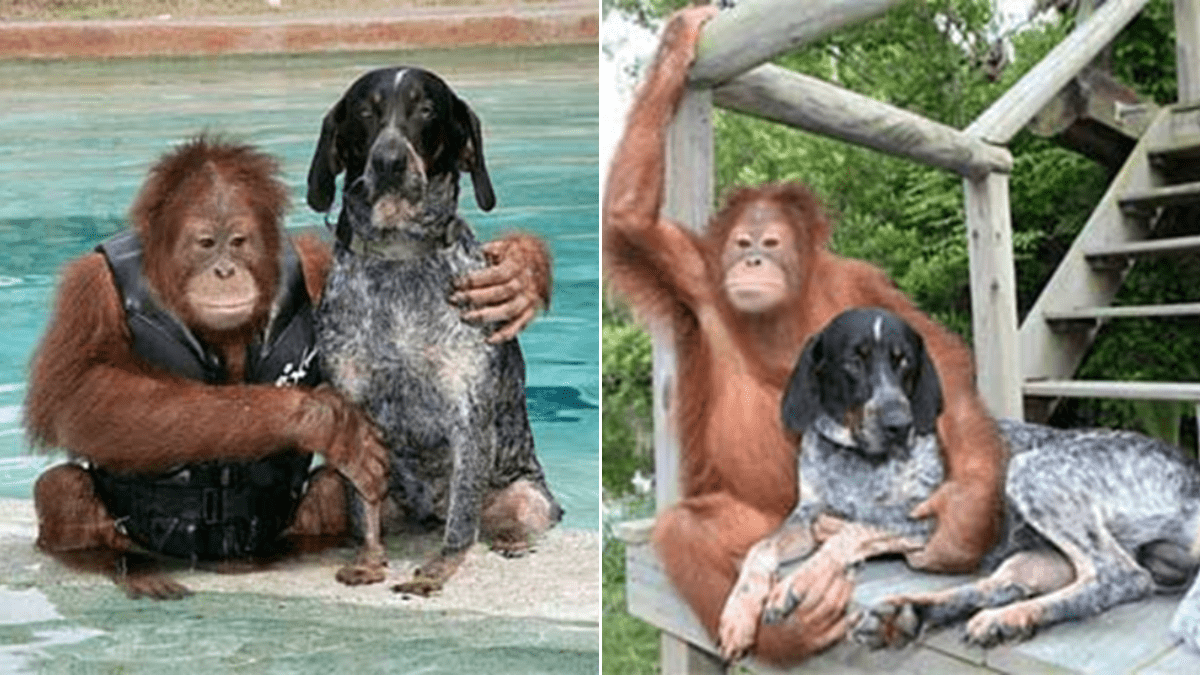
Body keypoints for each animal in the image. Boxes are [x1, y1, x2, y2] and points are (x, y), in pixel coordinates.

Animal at [304, 66, 556, 593]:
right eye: (366, 111)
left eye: (426, 110)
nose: (389, 161)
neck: (399, 257)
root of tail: (424, 516)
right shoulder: (354, 412)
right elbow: (364, 511)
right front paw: (369, 560)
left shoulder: (468, 415)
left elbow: (461, 524)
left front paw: (438, 570)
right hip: (324, 485)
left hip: (527, 498)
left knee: (498, 520)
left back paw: (508, 541)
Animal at [710, 307, 1200, 658]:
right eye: (853, 361)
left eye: (904, 362)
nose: (900, 424)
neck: (855, 459)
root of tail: (1192, 474)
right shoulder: (804, 513)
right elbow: (760, 549)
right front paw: (737, 614)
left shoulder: (922, 522)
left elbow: (851, 532)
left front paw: (800, 583)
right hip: (1036, 554)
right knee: (1005, 585)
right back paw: (934, 614)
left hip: (1033, 470)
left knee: (1121, 577)